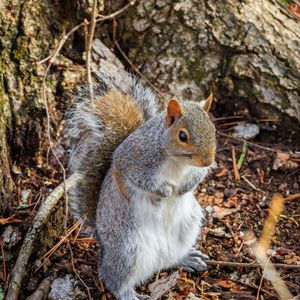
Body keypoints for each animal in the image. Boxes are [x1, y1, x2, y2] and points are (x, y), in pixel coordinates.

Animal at [65, 72, 216, 300]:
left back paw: (186, 259)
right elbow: (140, 179)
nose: (208, 160)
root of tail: (103, 244)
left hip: (186, 229)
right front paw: (165, 191)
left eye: (213, 128)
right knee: (111, 278)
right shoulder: (133, 158)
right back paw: (127, 293)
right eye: (183, 136)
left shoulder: (194, 169)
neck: (178, 162)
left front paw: (184, 189)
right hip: (128, 249)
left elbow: (197, 176)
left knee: (169, 260)